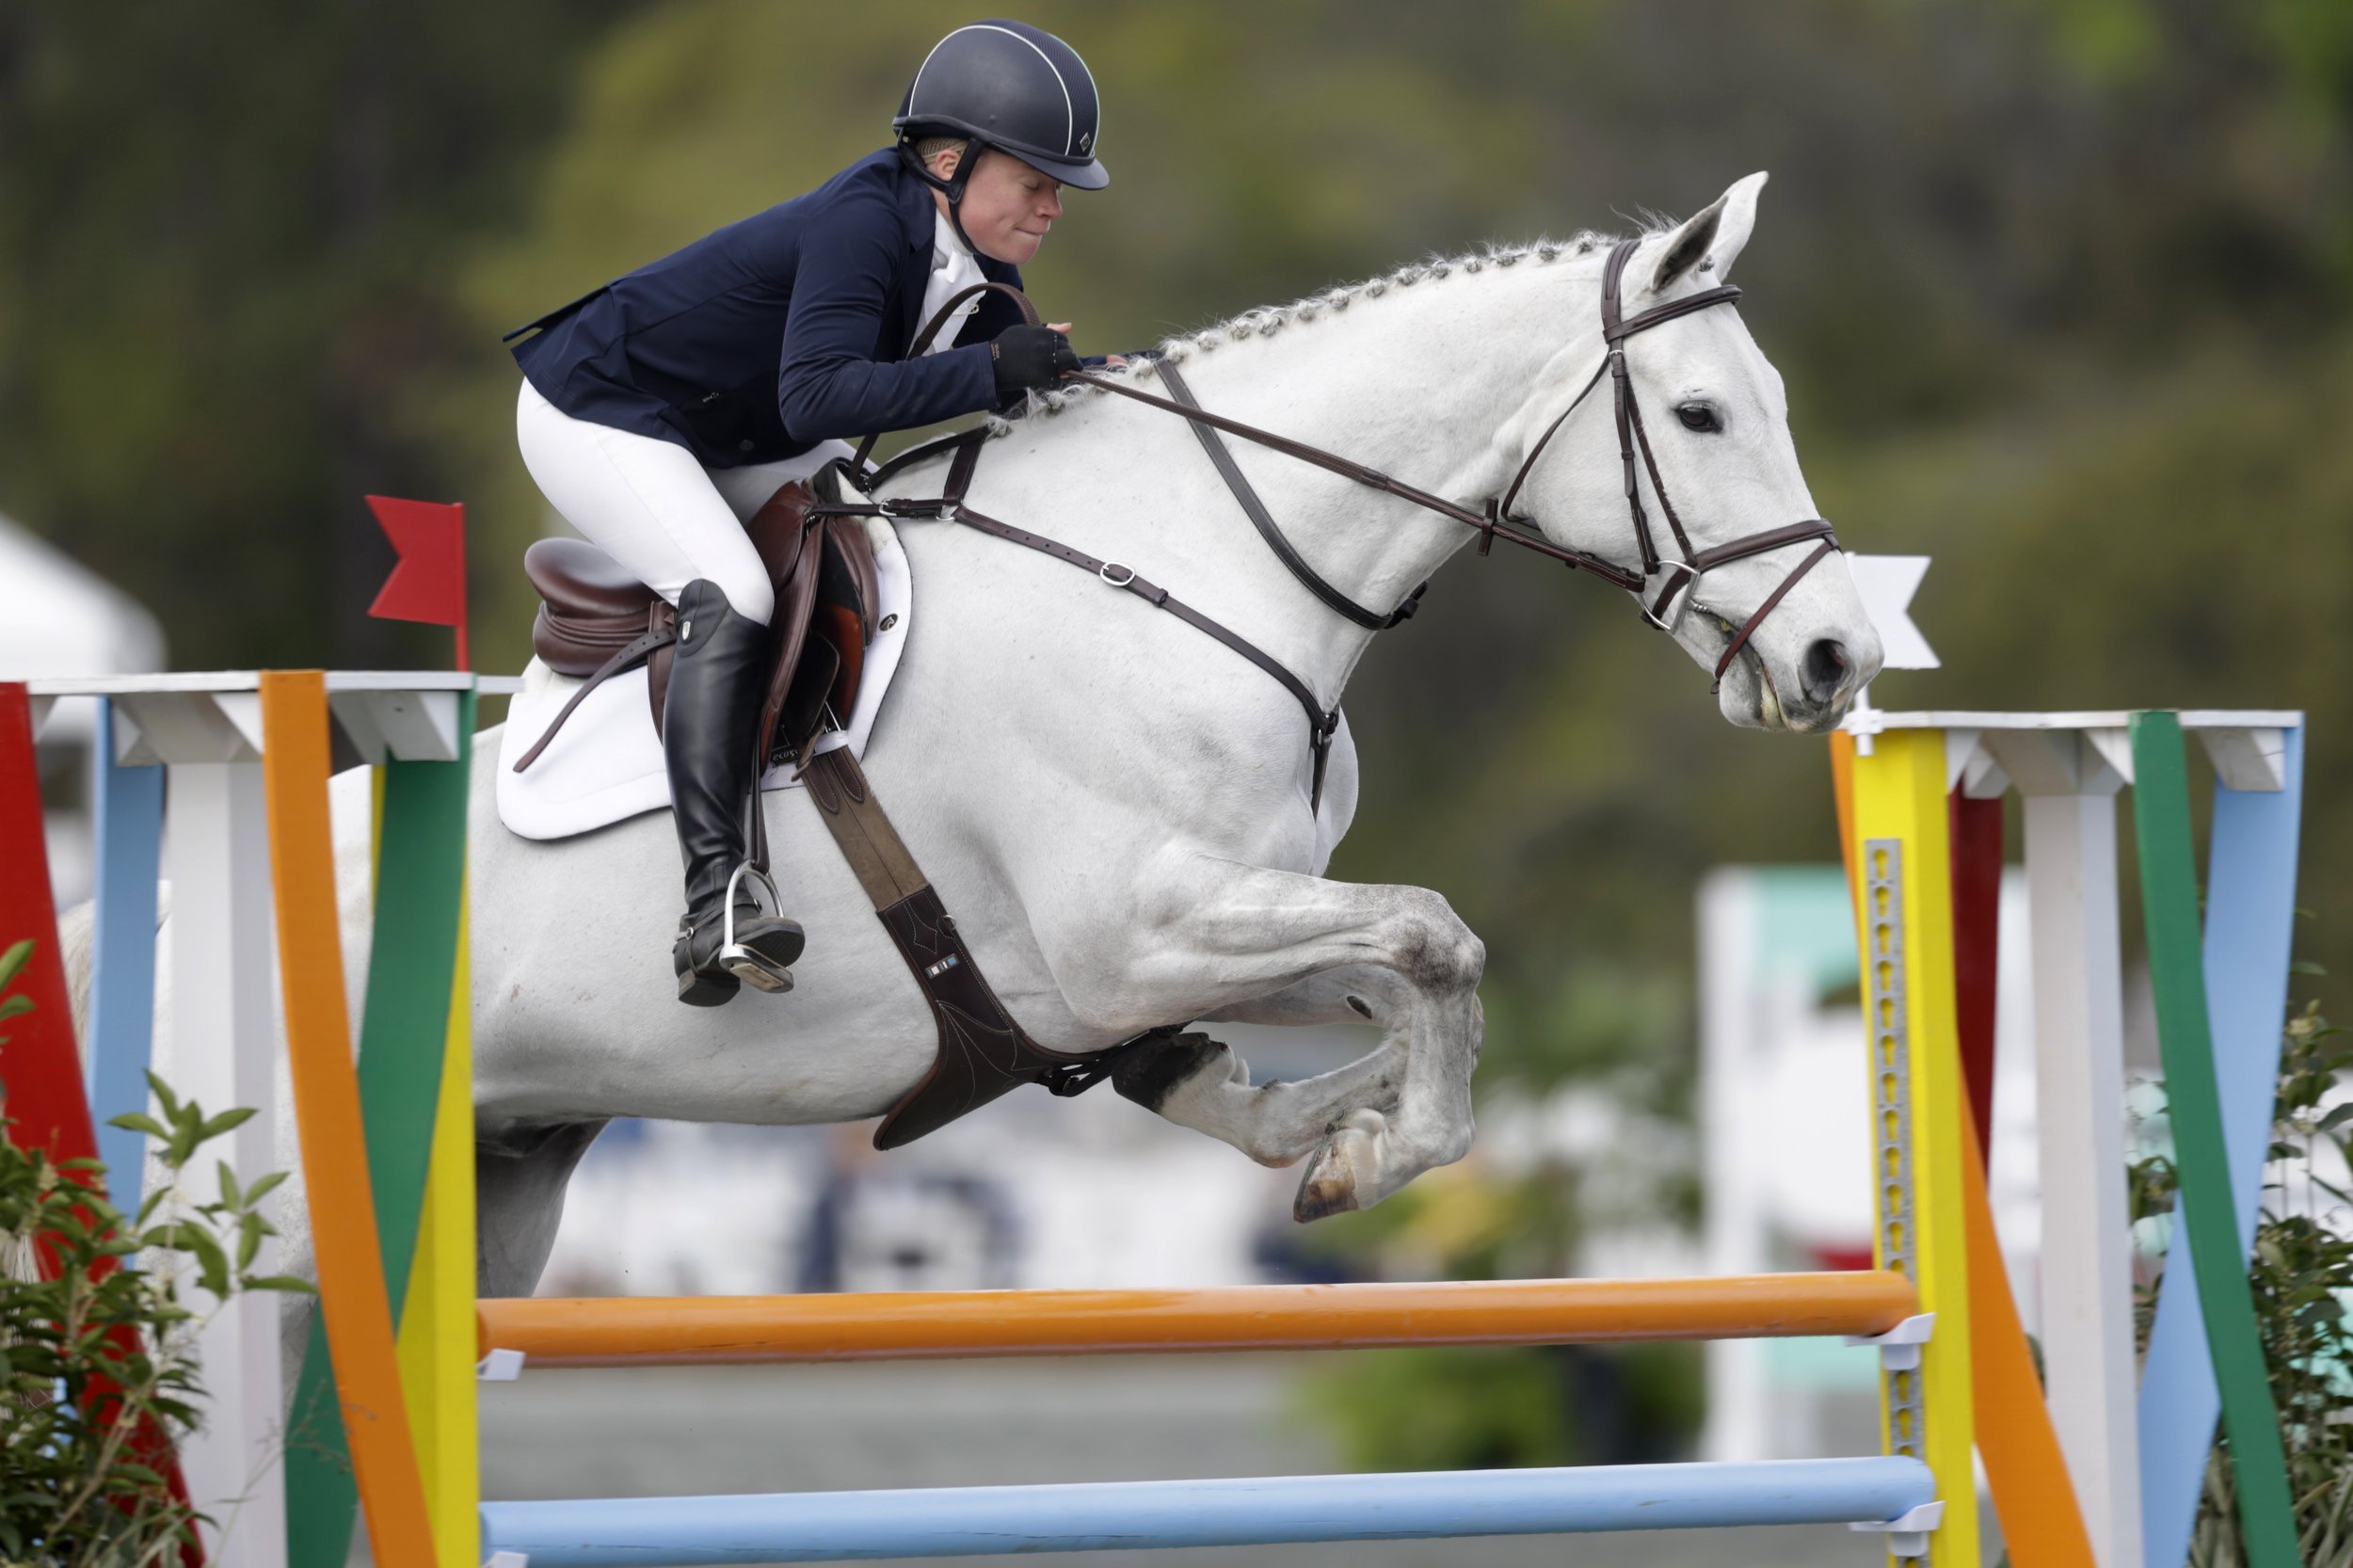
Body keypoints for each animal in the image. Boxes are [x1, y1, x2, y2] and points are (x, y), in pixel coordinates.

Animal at [110, 170, 1882, 1299]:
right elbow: (1437, 939)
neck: (1193, 558)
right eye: (1704, 415)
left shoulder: (1195, 930)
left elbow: (1403, 971)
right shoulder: (1132, 930)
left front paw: (1330, 1129)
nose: (1836, 654)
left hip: (499, 1182)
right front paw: (1365, 1148)